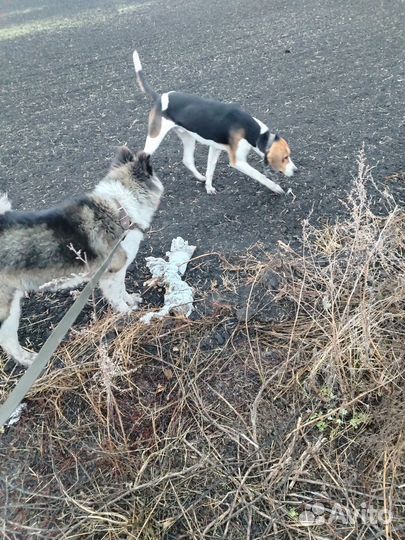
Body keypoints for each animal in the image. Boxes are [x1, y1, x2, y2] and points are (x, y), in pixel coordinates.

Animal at [1, 148, 164, 368]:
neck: (120, 208)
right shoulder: (111, 274)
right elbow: (117, 297)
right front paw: (128, 312)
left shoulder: (117, 273)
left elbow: (123, 290)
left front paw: (131, 300)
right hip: (8, 310)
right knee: (8, 341)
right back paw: (27, 359)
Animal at [134, 49, 296, 195]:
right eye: (284, 158)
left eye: (289, 155)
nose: (296, 170)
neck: (253, 132)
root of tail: (159, 97)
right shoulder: (238, 161)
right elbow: (260, 175)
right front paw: (276, 188)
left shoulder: (215, 148)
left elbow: (210, 169)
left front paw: (208, 187)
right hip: (154, 138)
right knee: (140, 157)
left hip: (187, 137)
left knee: (187, 160)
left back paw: (200, 177)